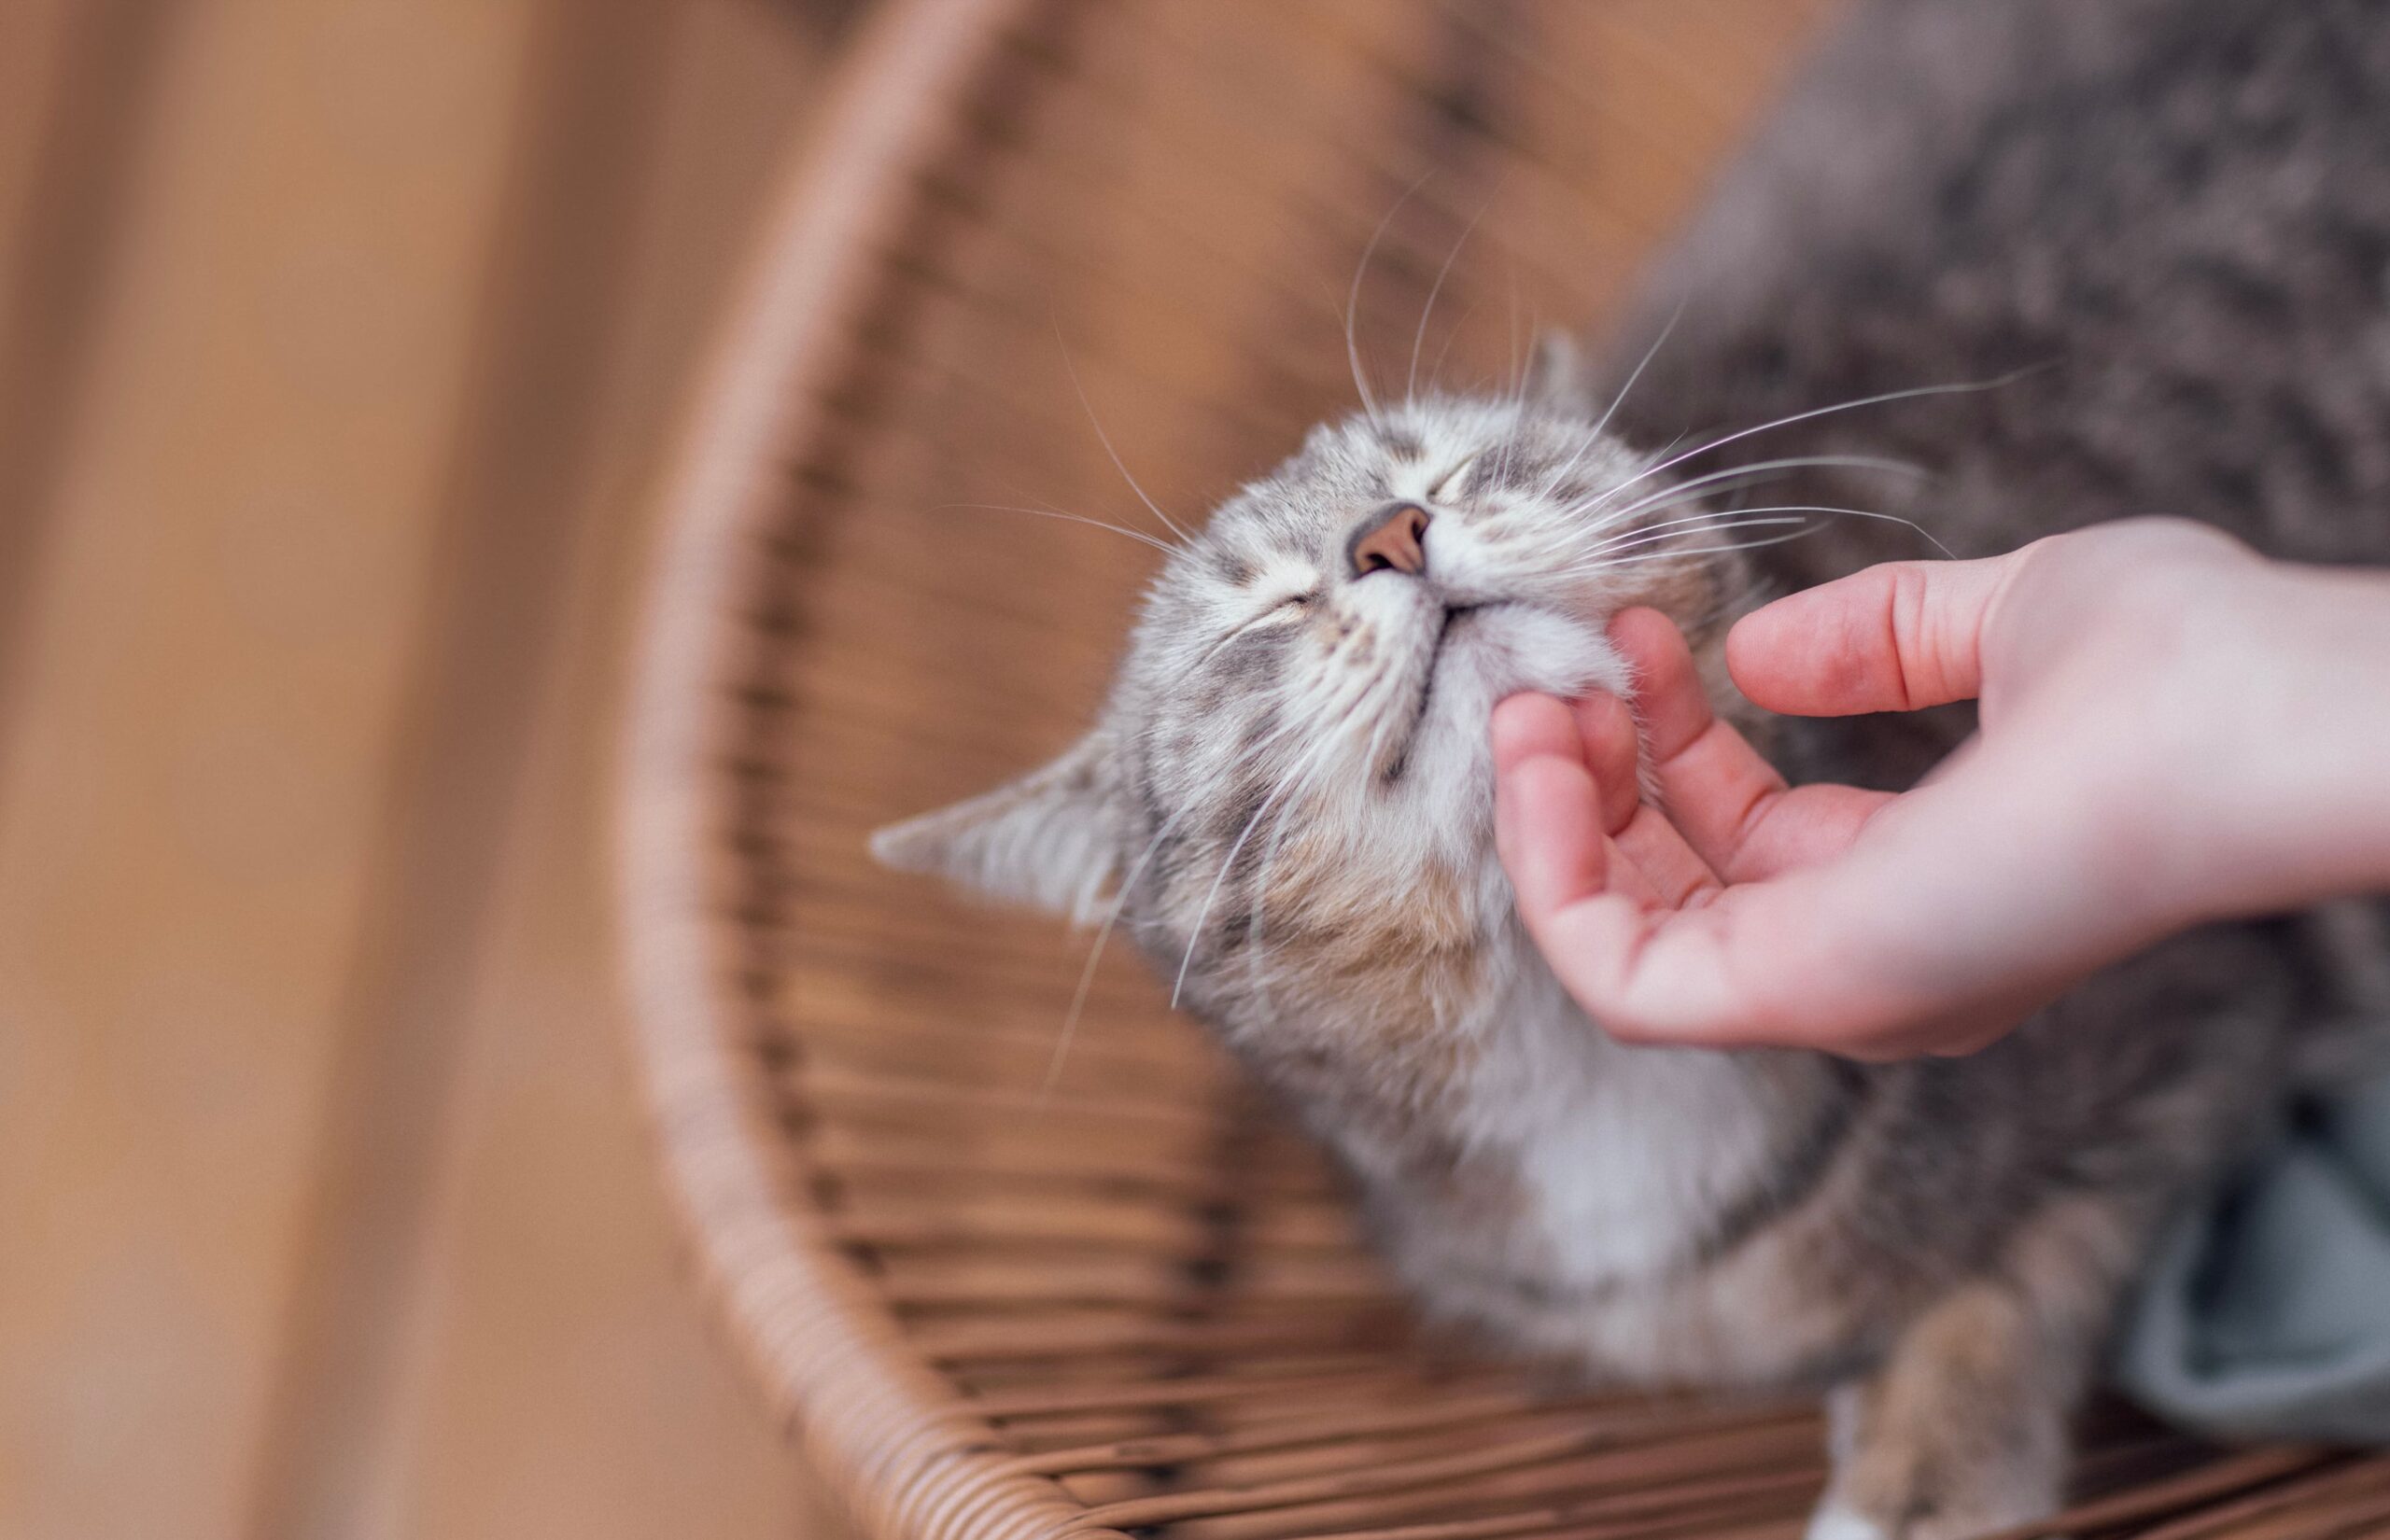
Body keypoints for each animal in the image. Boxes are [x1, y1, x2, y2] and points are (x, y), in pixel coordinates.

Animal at [874, 3, 2390, 1537]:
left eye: (1460, 467)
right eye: (1261, 617)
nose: (1389, 532)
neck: (1583, 1054)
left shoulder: (2206, 995)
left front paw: (1928, 1466)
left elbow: (2044, 1251)